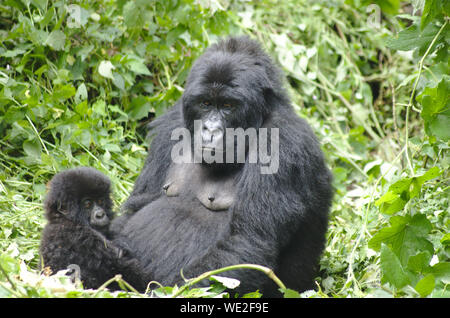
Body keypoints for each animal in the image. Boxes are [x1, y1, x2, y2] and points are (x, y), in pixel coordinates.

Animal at [110, 36, 332, 296]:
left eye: (227, 105)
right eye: (205, 103)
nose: (210, 129)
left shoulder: (285, 144)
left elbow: (246, 242)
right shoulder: (171, 125)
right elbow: (135, 208)